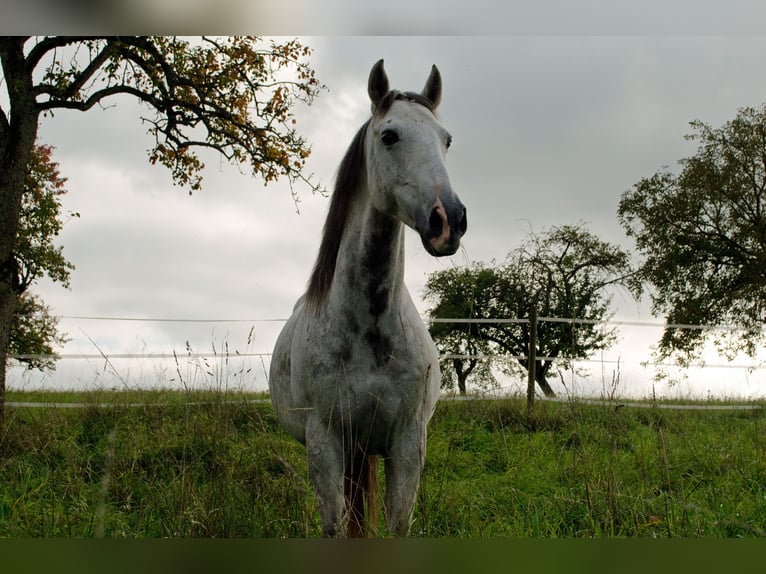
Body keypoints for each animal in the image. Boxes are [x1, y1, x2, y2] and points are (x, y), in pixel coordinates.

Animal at [269, 59, 467, 537]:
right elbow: (336, 527)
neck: (370, 325)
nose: (448, 220)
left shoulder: (408, 444)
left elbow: (397, 525)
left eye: (446, 139)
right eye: (389, 136)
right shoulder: (325, 443)